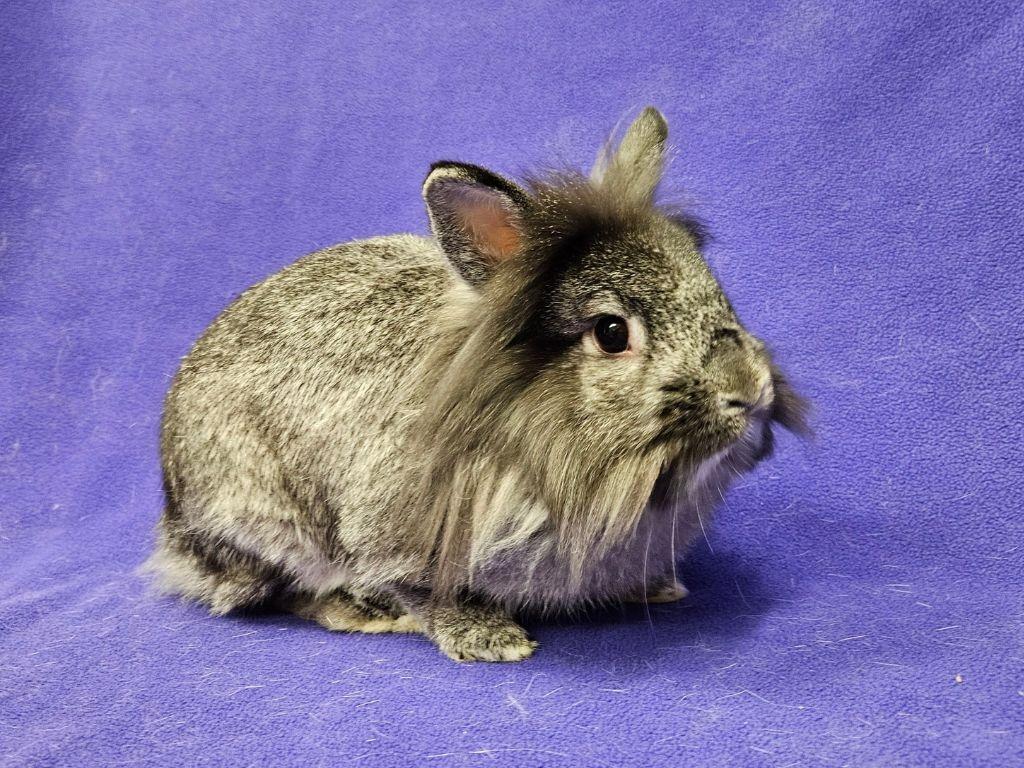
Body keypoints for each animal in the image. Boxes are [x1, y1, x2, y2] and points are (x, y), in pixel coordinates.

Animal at [145, 107, 808, 662]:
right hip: (265, 520)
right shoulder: (394, 538)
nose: (751, 390)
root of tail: (175, 522)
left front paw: (660, 587)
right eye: (612, 332)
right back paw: (361, 612)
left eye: (715, 290)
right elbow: (421, 590)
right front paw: (493, 641)